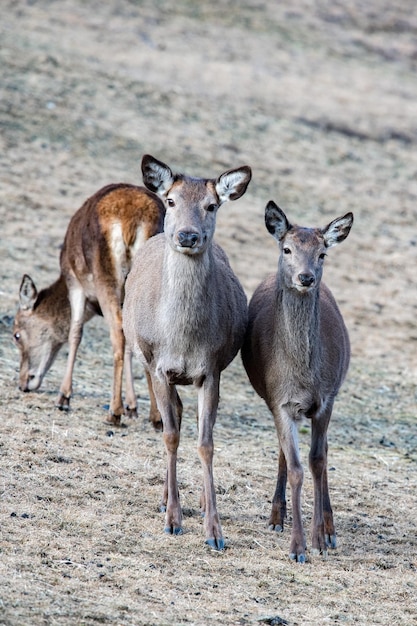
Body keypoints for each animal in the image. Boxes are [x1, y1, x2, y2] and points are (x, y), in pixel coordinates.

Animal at [13, 180, 166, 424]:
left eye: (16, 335)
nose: (23, 383)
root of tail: (134, 221)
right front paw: (133, 407)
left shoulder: (75, 283)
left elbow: (75, 333)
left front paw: (63, 397)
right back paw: (156, 416)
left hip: (105, 276)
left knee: (117, 332)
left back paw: (114, 412)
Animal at [121, 154, 250, 548]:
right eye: (171, 201)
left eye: (212, 205)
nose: (188, 236)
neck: (182, 340)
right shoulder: (159, 367)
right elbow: (170, 435)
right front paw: (173, 520)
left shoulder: (211, 370)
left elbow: (206, 442)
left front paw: (214, 531)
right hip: (146, 360)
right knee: (172, 418)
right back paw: (167, 498)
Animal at [239, 200, 352, 560]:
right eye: (287, 249)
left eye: (322, 253)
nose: (306, 277)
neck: (303, 376)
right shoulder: (280, 401)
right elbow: (297, 468)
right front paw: (297, 547)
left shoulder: (326, 399)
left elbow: (318, 461)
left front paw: (320, 539)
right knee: (285, 454)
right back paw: (277, 516)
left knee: (322, 451)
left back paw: (329, 528)